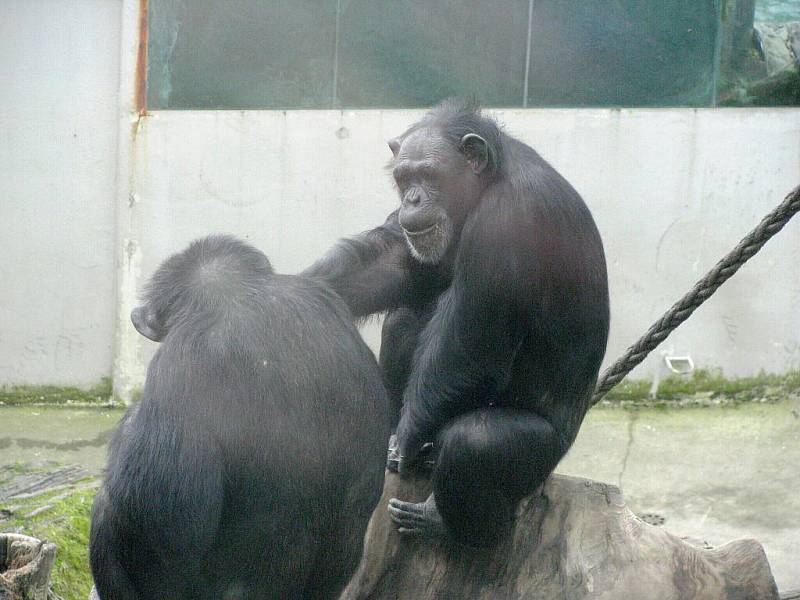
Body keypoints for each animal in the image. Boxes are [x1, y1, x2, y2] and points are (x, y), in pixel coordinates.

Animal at [304, 99, 608, 548]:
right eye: (404, 178)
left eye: (429, 175)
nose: (412, 198)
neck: (489, 180)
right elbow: (397, 259)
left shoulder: (508, 222)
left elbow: (472, 347)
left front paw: (406, 440)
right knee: (403, 318)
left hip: (545, 455)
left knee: (474, 443)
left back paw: (450, 525)